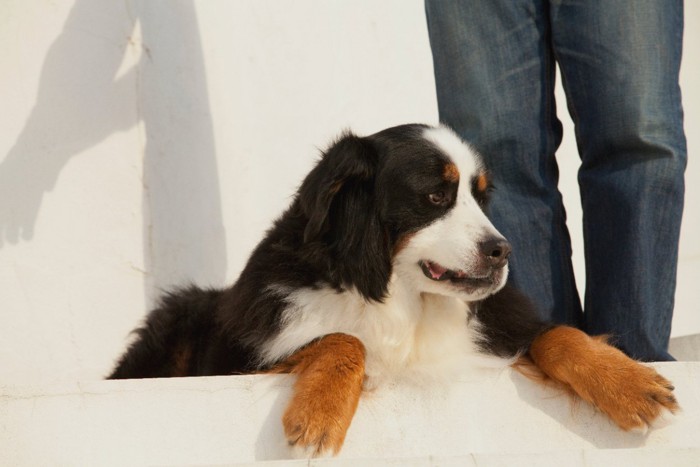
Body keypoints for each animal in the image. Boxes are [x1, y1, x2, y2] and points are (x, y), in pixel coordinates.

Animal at [110, 122, 680, 458]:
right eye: (435, 196)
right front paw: (319, 415)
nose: (503, 251)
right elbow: (342, 339)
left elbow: (558, 333)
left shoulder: (499, 325)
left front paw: (632, 384)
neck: (400, 299)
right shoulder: (244, 359)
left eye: (480, 197)